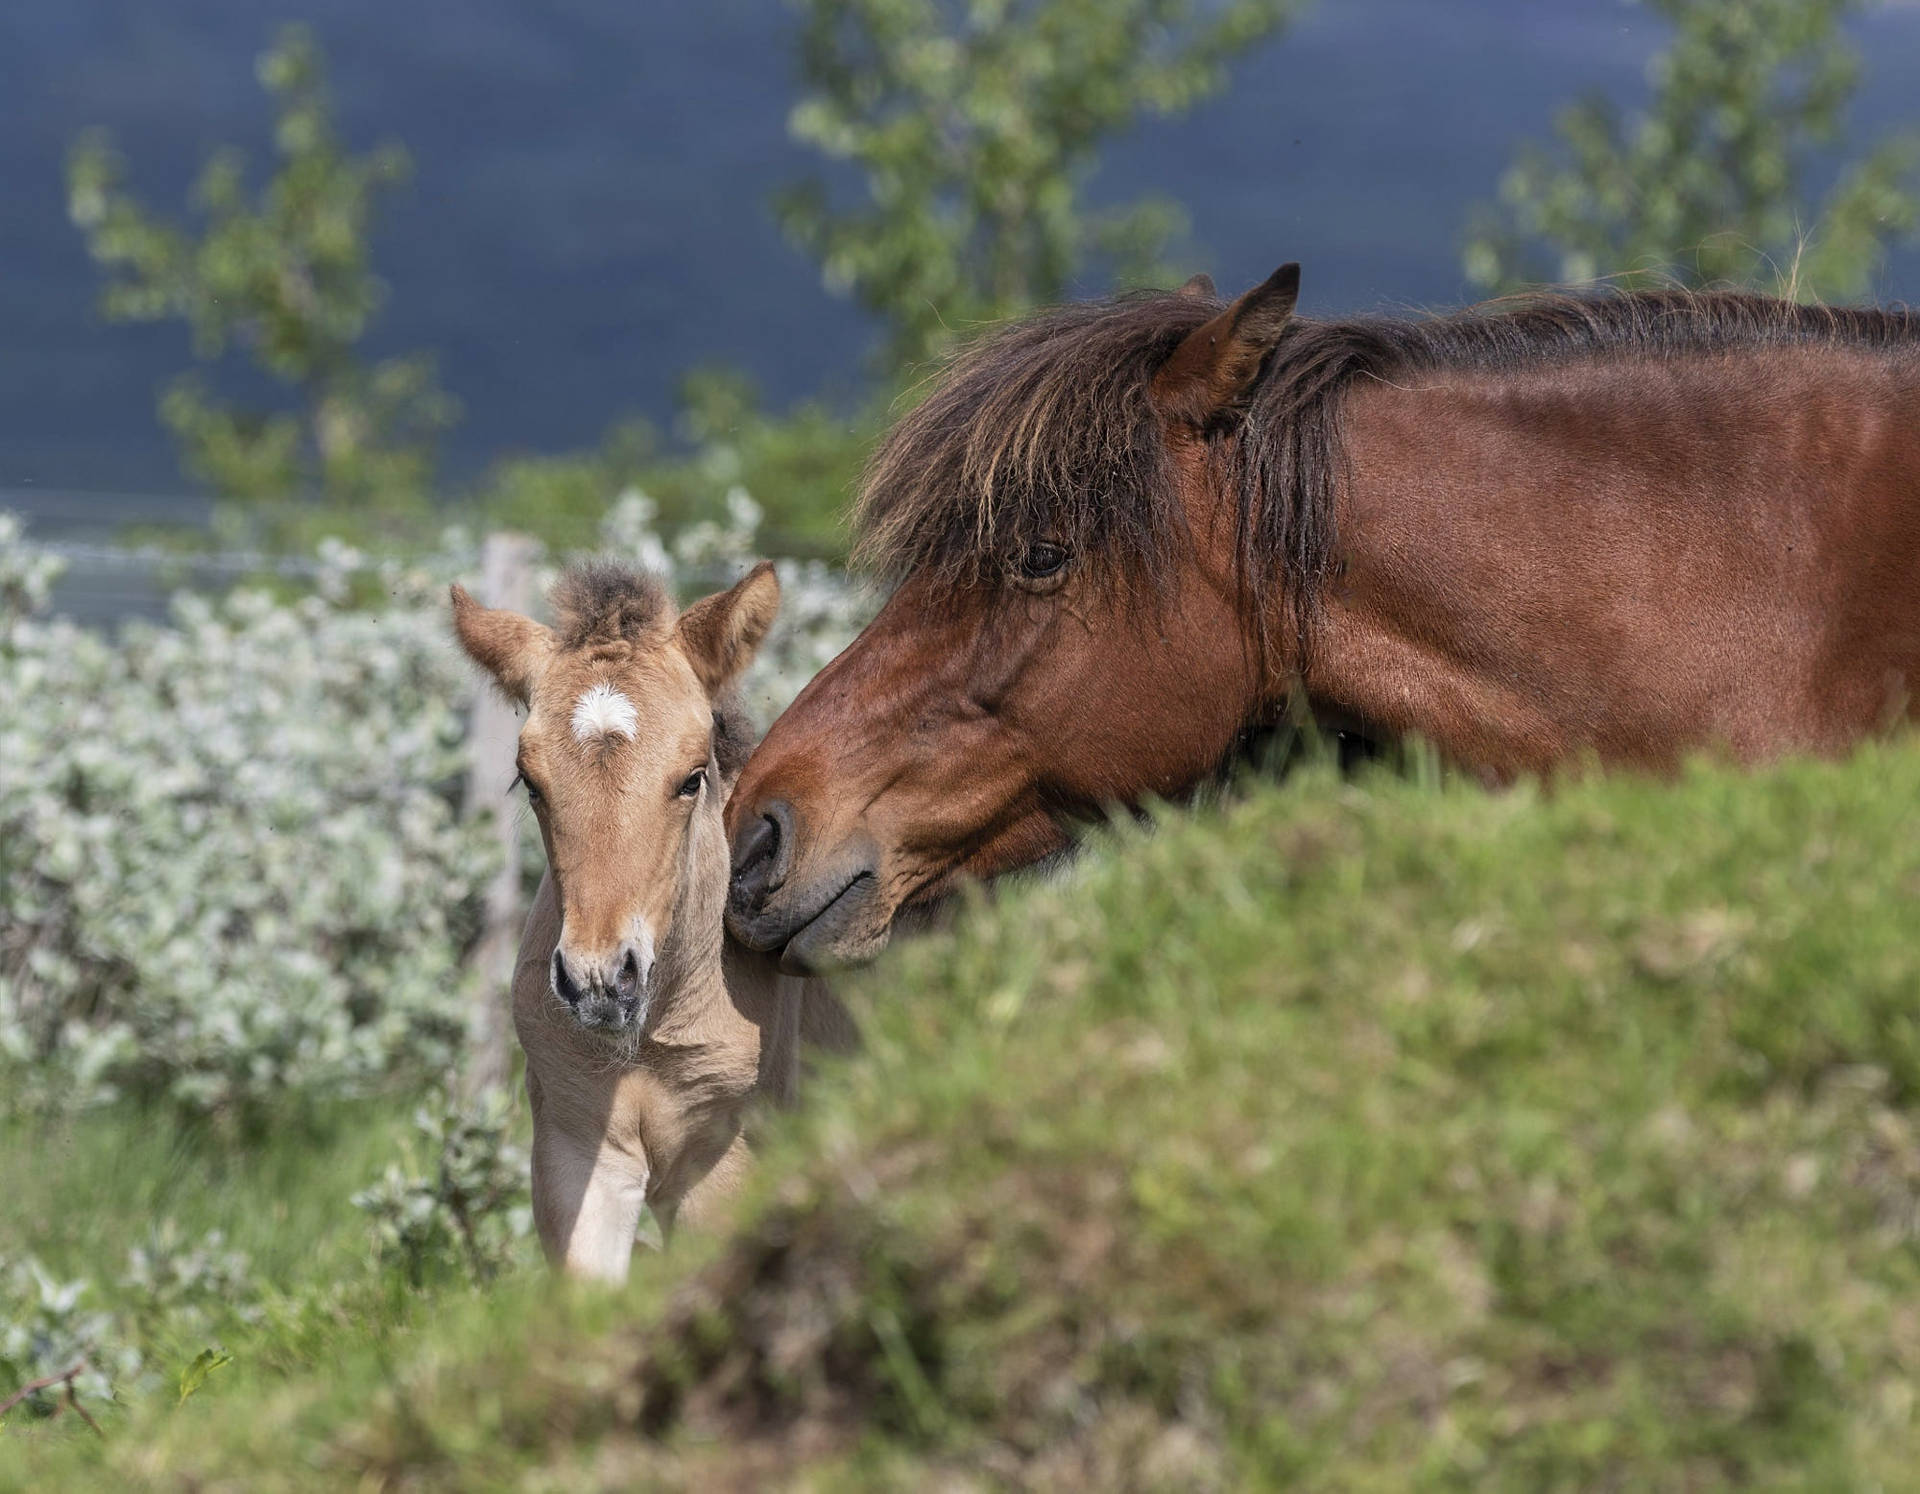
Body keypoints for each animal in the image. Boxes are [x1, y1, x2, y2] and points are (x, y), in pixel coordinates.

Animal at [453, 560, 852, 1282]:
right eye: (529, 782)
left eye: (693, 777)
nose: (600, 980)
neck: (647, 1043)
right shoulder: (577, 1152)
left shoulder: (723, 1165)